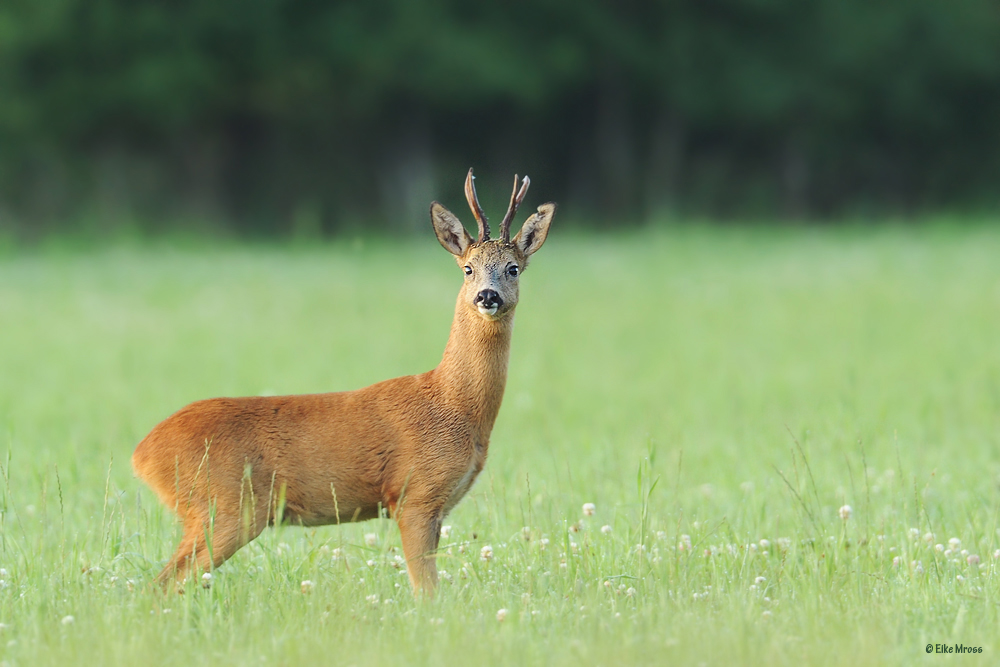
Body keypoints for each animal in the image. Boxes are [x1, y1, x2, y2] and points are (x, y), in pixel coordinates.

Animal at [131, 168, 556, 596]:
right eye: (468, 268)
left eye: (513, 268)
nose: (488, 296)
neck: (454, 405)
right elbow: (427, 593)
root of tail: (141, 453)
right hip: (225, 507)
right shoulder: (414, 494)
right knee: (160, 585)